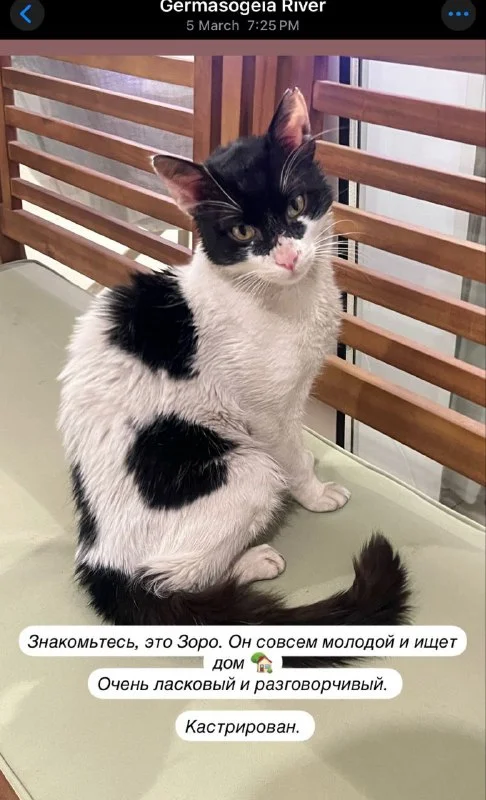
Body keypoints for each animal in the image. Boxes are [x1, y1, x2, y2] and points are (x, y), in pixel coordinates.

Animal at [58, 88, 411, 667]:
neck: (287, 300)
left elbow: (300, 441)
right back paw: (253, 561)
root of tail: (98, 556)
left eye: (296, 206)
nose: (287, 256)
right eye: (243, 231)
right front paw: (314, 491)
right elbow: (291, 455)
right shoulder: (266, 414)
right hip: (243, 470)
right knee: (173, 579)